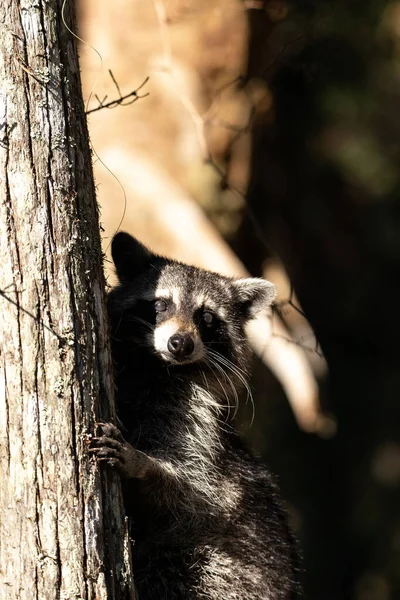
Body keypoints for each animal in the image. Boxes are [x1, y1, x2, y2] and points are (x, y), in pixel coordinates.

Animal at [90, 233, 300, 600]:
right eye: (161, 304)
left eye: (207, 317)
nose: (180, 343)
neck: (157, 368)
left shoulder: (195, 424)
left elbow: (193, 491)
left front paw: (142, 463)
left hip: (228, 573)